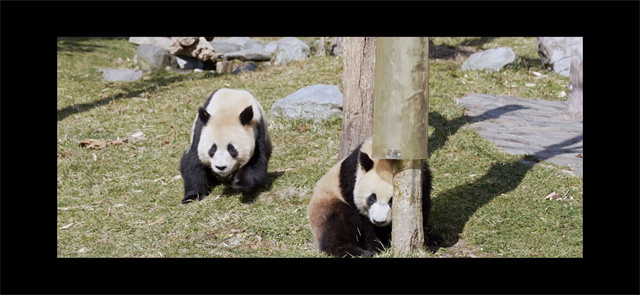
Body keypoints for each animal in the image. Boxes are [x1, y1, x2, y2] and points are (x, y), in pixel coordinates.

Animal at [308, 138, 442, 258]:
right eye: (372, 198)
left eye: (392, 201)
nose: (379, 221)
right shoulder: (352, 180)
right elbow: (365, 220)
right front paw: (377, 246)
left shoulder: (423, 177)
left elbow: (423, 206)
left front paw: (429, 239)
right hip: (328, 202)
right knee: (340, 222)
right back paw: (357, 252)